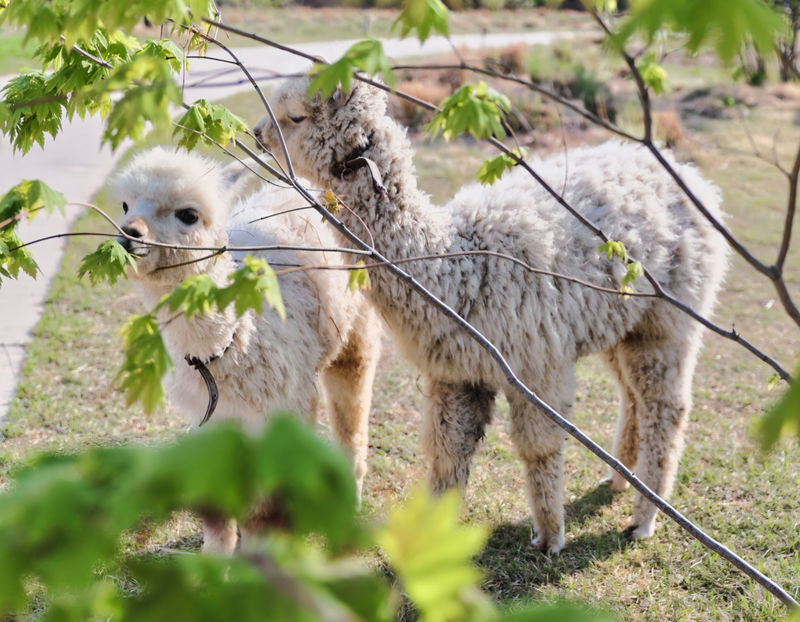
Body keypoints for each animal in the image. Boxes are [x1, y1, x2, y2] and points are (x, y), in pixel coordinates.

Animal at [114, 146, 381, 553]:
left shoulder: (283, 407)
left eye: (188, 214)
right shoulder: (213, 415)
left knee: (352, 422)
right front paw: (217, 558)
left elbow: (266, 504)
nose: (128, 234)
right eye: (125, 205)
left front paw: (262, 554)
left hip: (356, 330)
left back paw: (351, 502)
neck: (227, 350)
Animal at [253, 78, 729, 553]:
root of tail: (694, 179)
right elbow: (448, 455)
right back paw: (618, 481)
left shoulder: (537, 362)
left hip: (669, 319)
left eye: (295, 116)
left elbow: (539, 447)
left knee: (666, 408)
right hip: (621, 322)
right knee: (632, 396)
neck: (458, 268)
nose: (258, 133)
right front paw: (430, 540)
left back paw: (643, 519)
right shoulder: (457, 371)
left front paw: (550, 537)